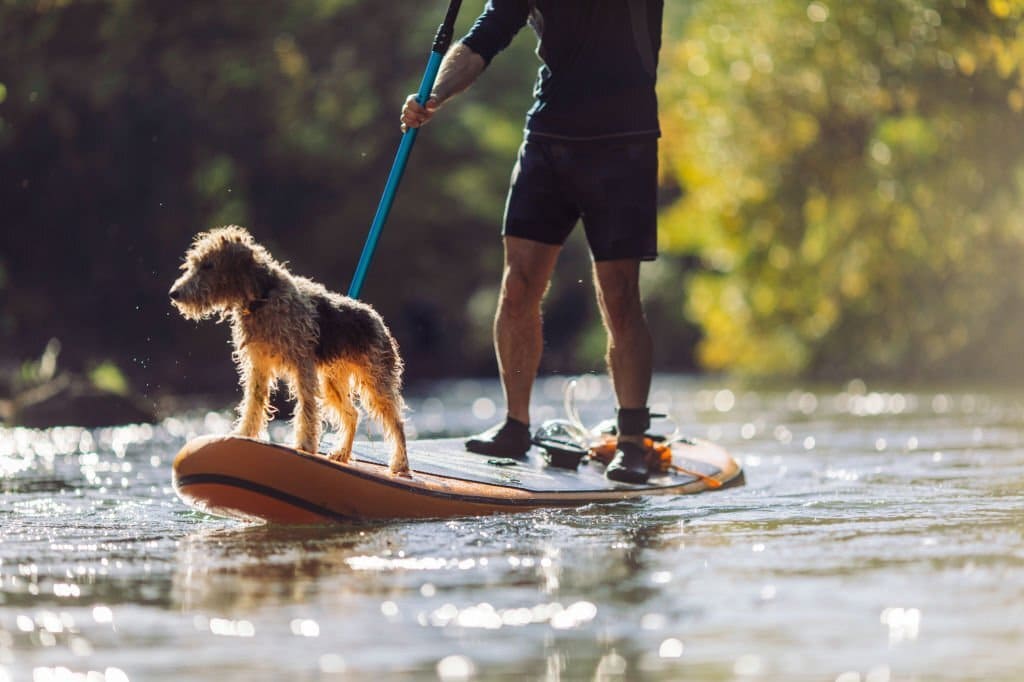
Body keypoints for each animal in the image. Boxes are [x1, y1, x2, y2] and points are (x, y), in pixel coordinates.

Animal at [167, 223, 407, 473]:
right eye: (194, 264)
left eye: (208, 265)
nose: (174, 293)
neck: (262, 297)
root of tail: (377, 318)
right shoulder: (258, 366)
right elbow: (253, 403)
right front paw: (244, 433)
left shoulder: (303, 366)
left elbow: (307, 408)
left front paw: (305, 444)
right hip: (332, 383)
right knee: (352, 414)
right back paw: (342, 453)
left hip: (376, 383)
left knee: (396, 423)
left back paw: (400, 464)